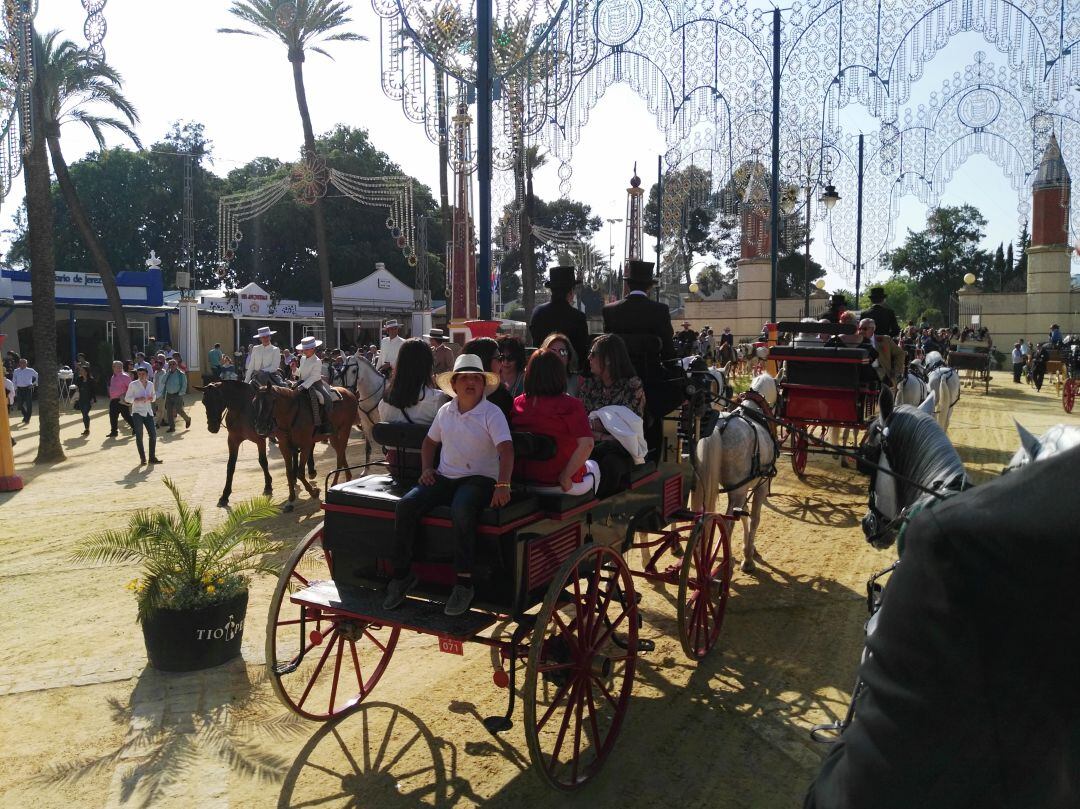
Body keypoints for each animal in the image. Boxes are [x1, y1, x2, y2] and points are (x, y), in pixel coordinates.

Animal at [691, 371, 777, 565]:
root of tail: (718, 428)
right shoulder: (759, 485)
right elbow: (754, 518)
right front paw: (748, 556)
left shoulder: (745, 488)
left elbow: (744, 514)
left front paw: (750, 548)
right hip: (737, 490)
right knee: (728, 523)